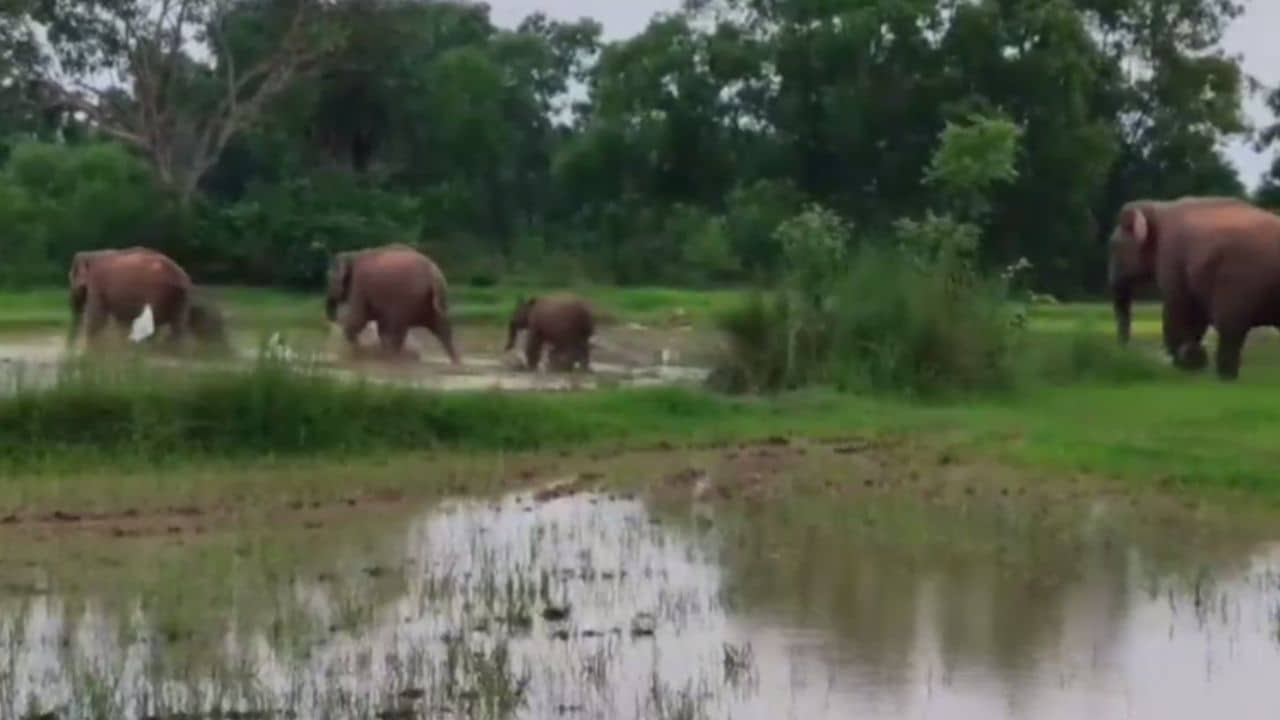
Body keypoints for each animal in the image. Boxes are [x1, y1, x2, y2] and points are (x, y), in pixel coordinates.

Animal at [67, 247, 226, 353]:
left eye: (71, 278)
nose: (70, 350)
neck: (93, 253)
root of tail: (182, 277)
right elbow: (120, 323)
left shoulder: (97, 283)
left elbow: (97, 319)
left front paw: (91, 352)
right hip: (181, 297)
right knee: (177, 325)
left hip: (158, 292)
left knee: (157, 324)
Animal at [325, 244, 460, 364]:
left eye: (329, 278)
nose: (332, 319)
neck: (353, 254)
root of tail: (433, 273)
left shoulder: (359, 284)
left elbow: (358, 318)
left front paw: (357, 351)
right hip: (433, 301)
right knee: (443, 329)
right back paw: (456, 362)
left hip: (406, 299)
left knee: (396, 332)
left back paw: (393, 358)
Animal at [1108, 196, 1280, 380]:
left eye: (1113, 246)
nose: (1124, 351)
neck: (1159, 207)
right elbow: (1195, 313)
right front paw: (1190, 361)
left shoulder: (1171, 255)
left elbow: (1178, 306)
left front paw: (1186, 363)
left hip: (1239, 280)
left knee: (1230, 329)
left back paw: (1225, 377)